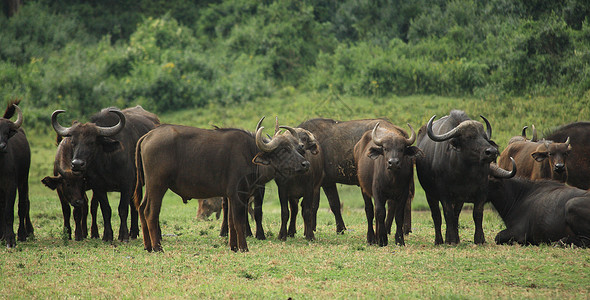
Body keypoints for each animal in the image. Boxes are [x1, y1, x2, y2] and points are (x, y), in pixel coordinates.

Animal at [50, 105, 160, 241]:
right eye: (73, 142)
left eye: (91, 142)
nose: (77, 164)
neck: (107, 162)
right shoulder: (98, 186)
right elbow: (106, 209)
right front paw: (107, 235)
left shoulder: (127, 184)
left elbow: (122, 209)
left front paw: (123, 235)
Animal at [133, 118, 310, 252]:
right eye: (284, 149)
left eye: (296, 147)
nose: (305, 164)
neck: (249, 153)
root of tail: (148, 136)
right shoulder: (238, 195)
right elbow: (239, 221)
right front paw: (244, 248)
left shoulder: (231, 196)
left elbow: (231, 221)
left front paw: (234, 247)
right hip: (158, 185)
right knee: (150, 212)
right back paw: (157, 247)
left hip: (150, 187)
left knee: (141, 208)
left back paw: (148, 246)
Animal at [416, 111, 512, 245]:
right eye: (470, 137)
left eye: (484, 137)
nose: (492, 152)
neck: (464, 172)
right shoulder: (444, 193)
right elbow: (447, 214)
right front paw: (450, 240)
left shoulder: (481, 190)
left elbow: (477, 213)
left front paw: (479, 239)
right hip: (430, 194)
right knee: (437, 216)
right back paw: (440, 240)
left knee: (456, 215)